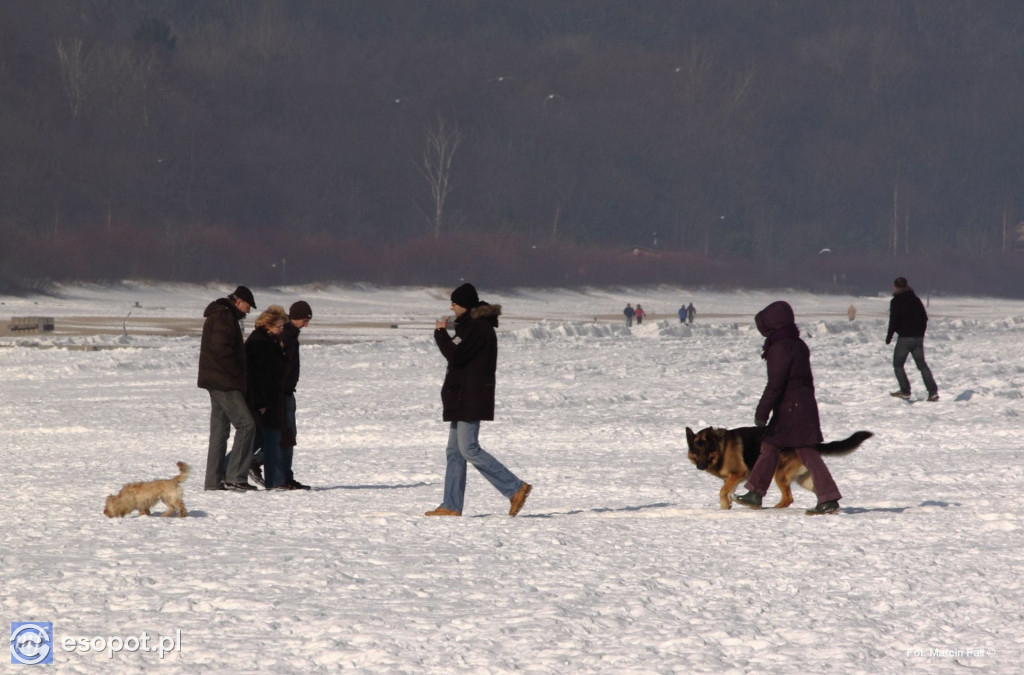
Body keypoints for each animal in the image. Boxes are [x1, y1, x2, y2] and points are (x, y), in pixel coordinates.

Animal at [688, 430, 872, 510]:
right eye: (697, 451)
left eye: (706, 451)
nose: (700, 466)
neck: (721, 446)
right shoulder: (732, 479)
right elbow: (726, 492)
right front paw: (727, 506)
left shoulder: (739, 474)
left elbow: (722, 491)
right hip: (803, 480)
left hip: (779, 475)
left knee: (788, 498)